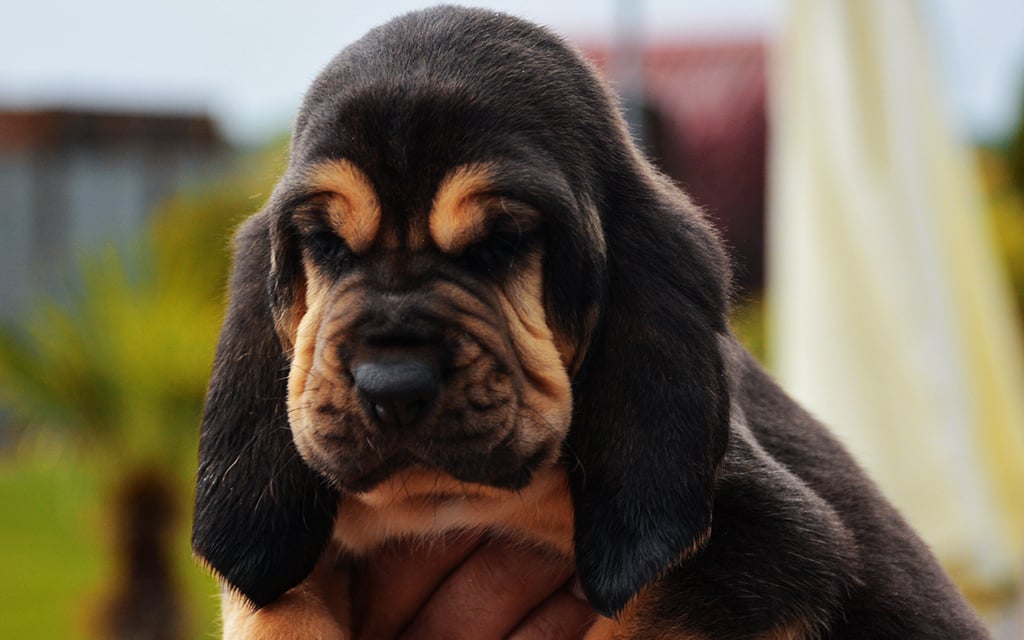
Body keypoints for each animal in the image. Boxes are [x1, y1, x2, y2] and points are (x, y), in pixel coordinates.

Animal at [190, 6, 983, 638]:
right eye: (324, 244)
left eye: (503, 241)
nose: (392, 386)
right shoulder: (290, 569)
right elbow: (277, 612)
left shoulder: (759, 552)